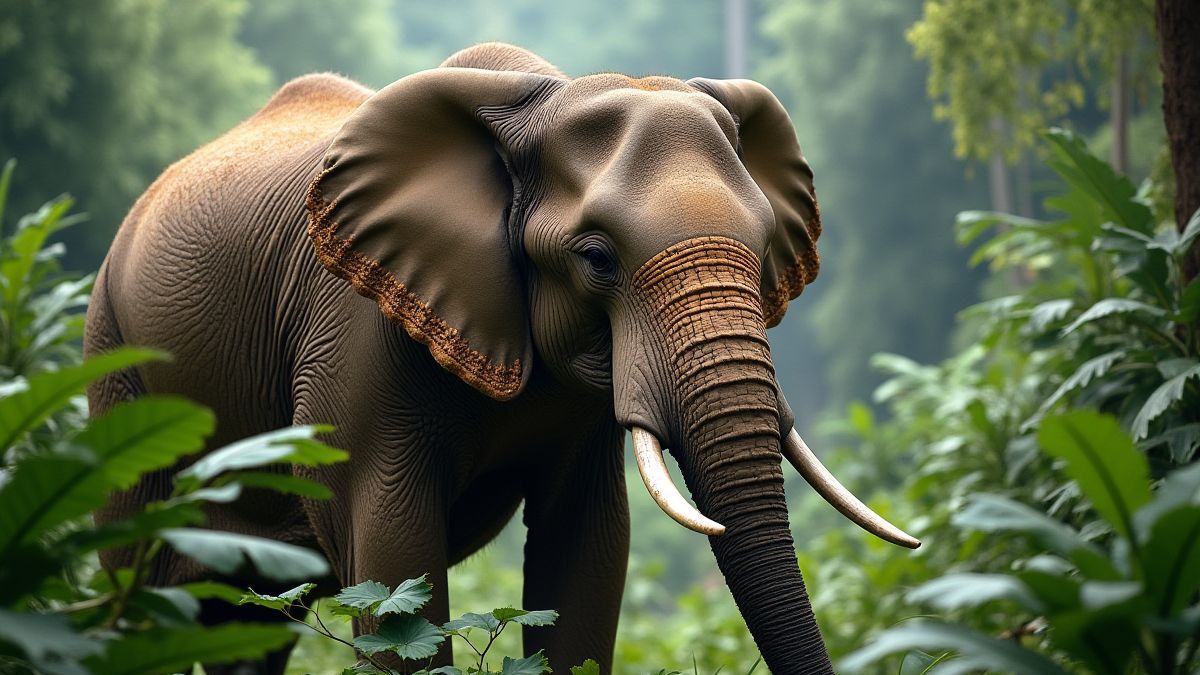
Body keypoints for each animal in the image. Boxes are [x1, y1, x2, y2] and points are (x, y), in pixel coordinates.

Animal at [85, 42, 918, 675]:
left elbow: (587, 549)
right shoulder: (355, 334)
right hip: (117, 368)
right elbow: (394, 561)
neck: (537, 99)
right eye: (597, 259)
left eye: (764, 245)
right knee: (141, 594)